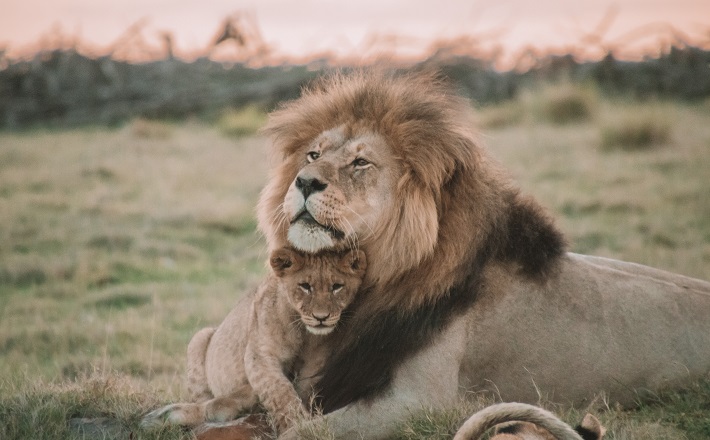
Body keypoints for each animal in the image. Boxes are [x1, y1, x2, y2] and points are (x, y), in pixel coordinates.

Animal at [256, 70, 710, 438]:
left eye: (361, 162)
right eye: (314, 154)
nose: (303, 181)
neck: (378, 278)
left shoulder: (419, 401)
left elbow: (299, 432)